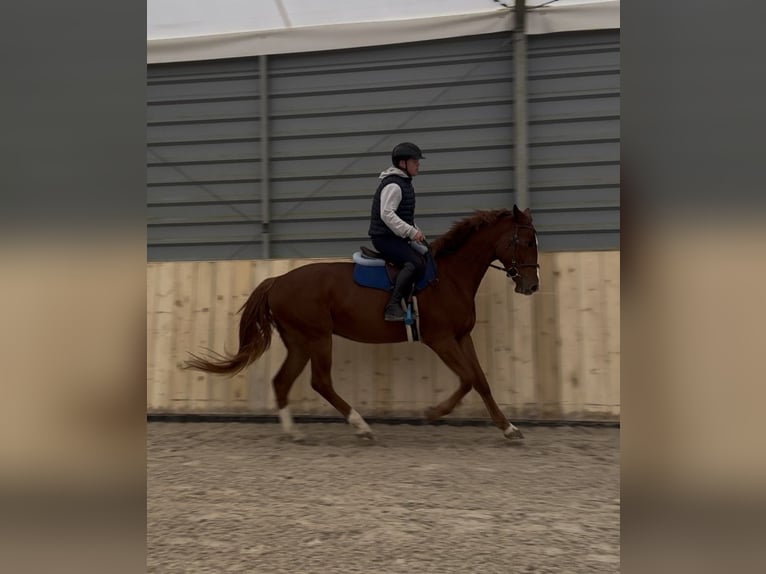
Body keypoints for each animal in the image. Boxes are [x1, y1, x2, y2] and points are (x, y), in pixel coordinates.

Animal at [185, 205, 540, 441]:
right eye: (525, 242)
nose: (531, 286)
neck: (450, 277)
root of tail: (278, 281)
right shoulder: (440, 339)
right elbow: (466, 379)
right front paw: (433, 413)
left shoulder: (462, 336)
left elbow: (480, 380)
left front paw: (508, 427)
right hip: (318, 337)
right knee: (320, 382)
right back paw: (361, 425)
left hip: (299, 341)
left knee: (282, 381)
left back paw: (294, 432)